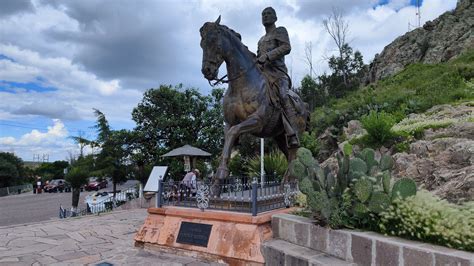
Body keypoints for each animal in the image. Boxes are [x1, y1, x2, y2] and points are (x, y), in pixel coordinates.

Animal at [199, 16, 308, 183]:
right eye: (202, 44)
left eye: (215, 43)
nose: (207, 71)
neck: (241, 85)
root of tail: (304, 106)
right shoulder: (229, 123)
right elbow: (227, 139)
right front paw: (219, 174)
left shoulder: (257, 121)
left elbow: (233, 133)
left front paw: (222, 171)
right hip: (280, 137)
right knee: (289, 158)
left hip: (294, 135)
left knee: (293, 157)